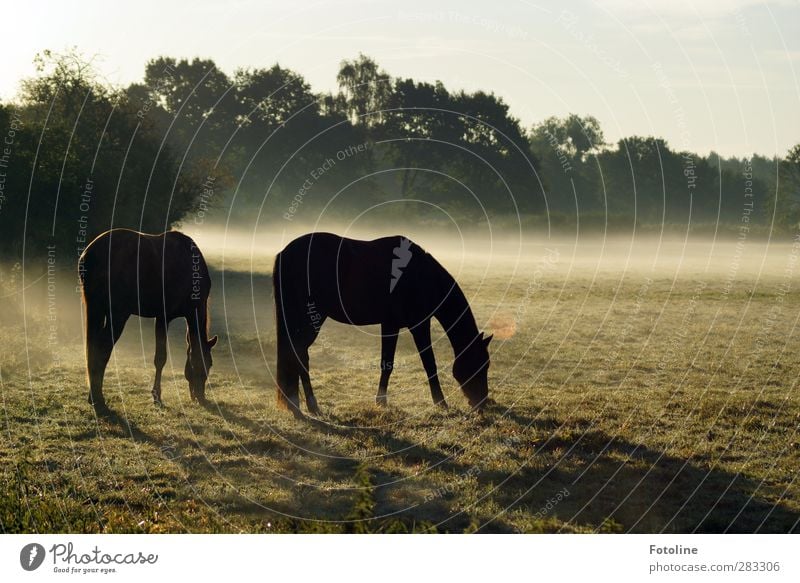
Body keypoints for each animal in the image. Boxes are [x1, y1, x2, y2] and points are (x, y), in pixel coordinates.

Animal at [78, 226, 217, 412]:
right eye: (196, 365)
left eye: (210, 364)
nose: (200, 397)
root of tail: (90, 253)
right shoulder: (164, 317)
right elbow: (160, 358)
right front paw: (157, 395)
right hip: (118, 315)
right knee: (103, 348)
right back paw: (98, 398)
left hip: (97, 309)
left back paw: (93, 395)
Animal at [272, 230, 490, 418]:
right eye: (480, 365)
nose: (482, 404)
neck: (421, 276)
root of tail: (285, 253)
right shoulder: (419, 326)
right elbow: (429, 364)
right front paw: (441, 402)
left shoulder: (390, 325)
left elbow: (387, 363)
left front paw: (381, 401)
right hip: (311, 316)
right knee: (299, 353)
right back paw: (310, 405)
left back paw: (299, 404)